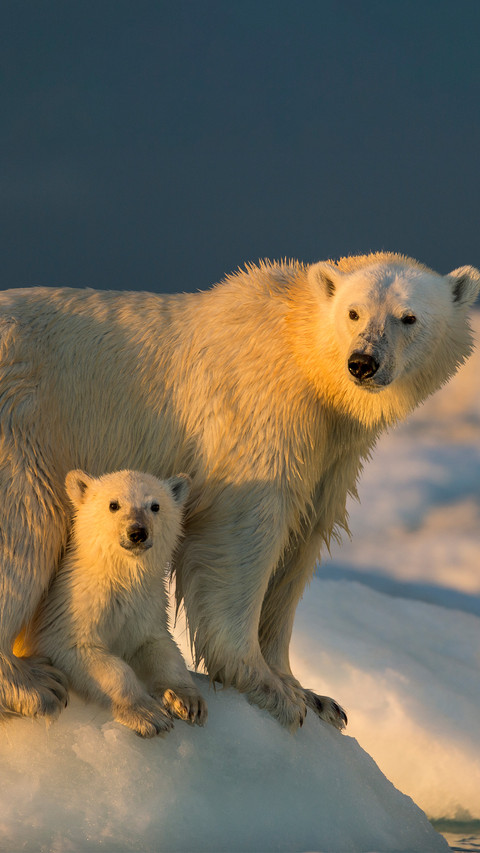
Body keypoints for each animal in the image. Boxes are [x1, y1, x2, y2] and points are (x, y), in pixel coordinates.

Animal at [18, 469, 207, 737]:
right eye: (114, 504)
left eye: (155, 506)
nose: (137, 533)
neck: (121, 577)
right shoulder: (72, 608)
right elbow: (88, 654)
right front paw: (149, 715)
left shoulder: (146, 607)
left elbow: (159, 647)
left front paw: (187, 702)